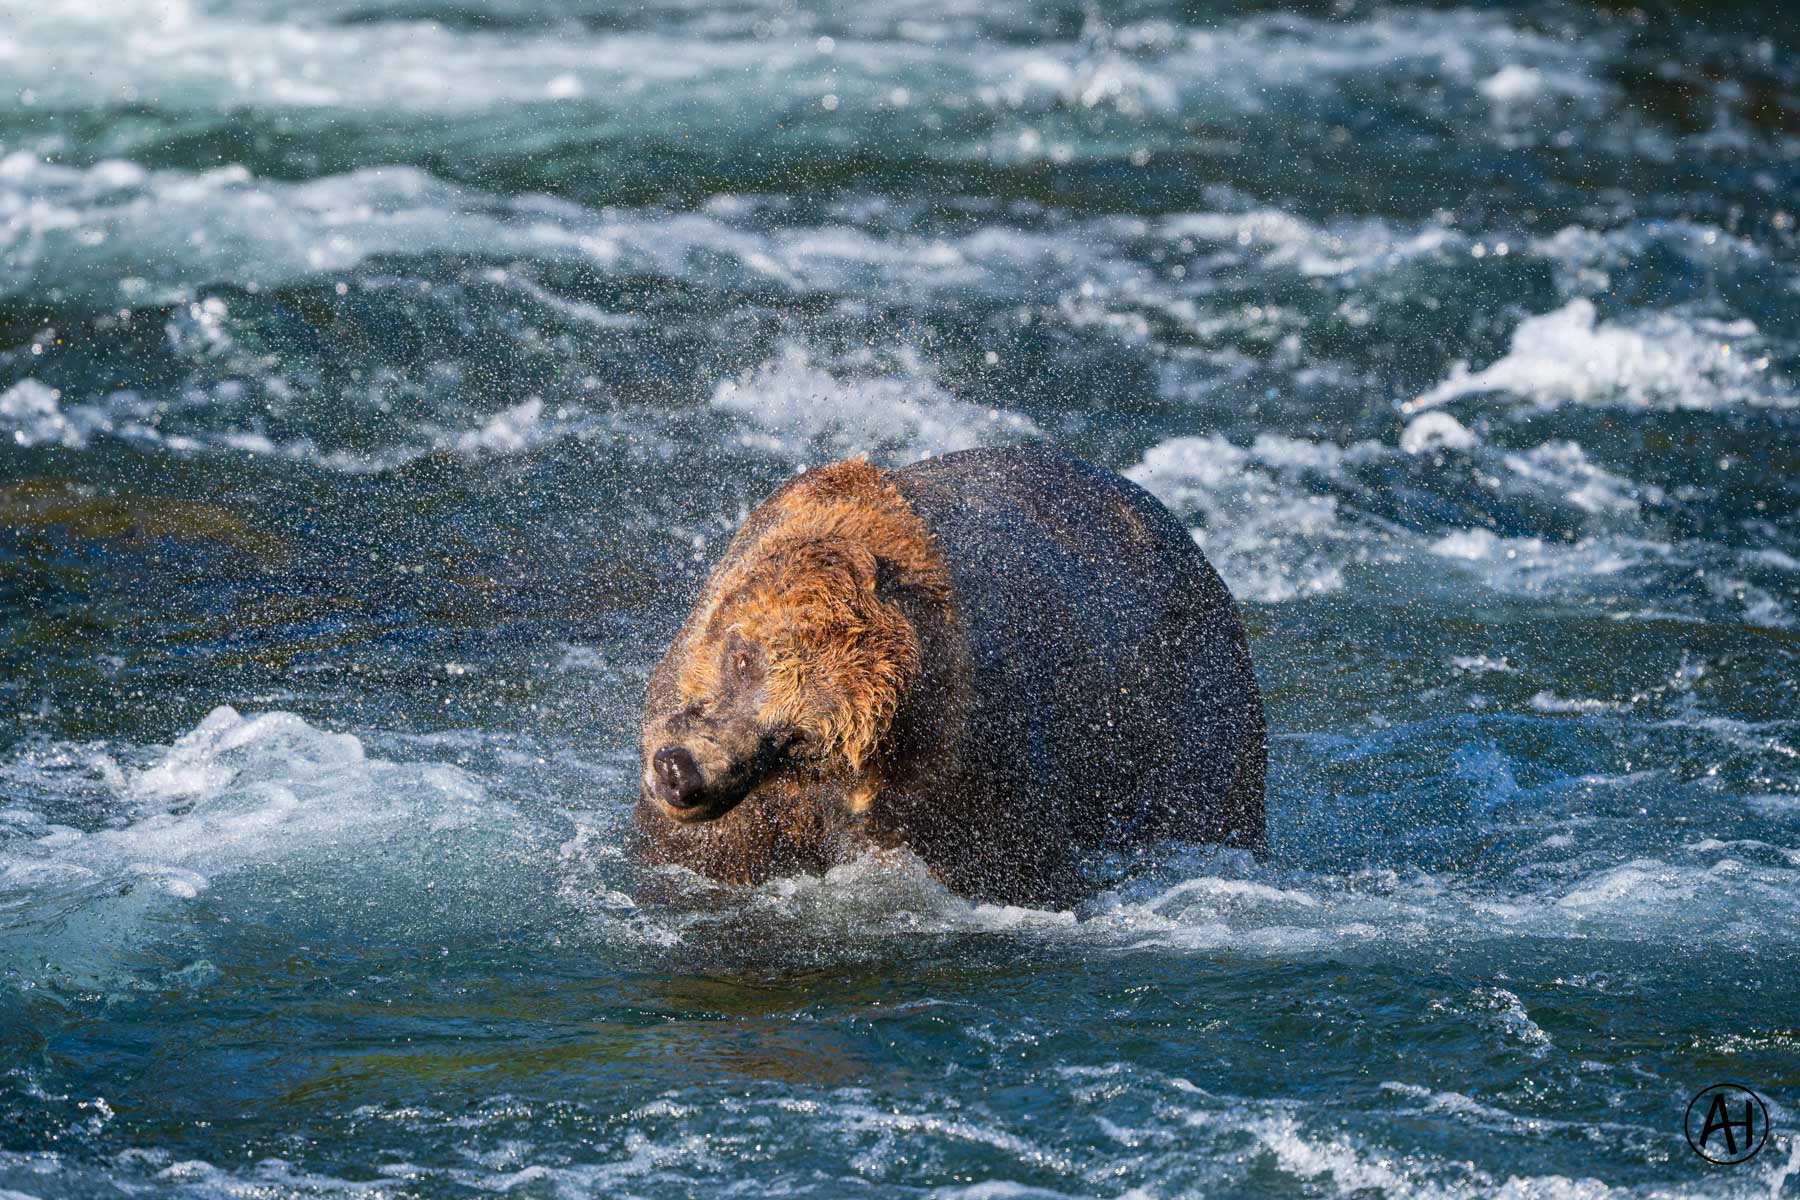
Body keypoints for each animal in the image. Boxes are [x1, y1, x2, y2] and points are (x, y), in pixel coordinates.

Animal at [634, 446, 1265, 907]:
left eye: (799, 741)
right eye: (744, 659)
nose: (681, 772)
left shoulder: (970, 770)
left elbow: (1021, 866)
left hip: (1190, 721)